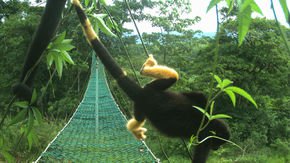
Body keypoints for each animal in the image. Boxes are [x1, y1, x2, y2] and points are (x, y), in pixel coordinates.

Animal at [72, 0, 229, 162]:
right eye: (218, 143)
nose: (217, 148)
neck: (210, 124)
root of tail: (142, 93)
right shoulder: (205, 138)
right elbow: (199, 158)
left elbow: (198, 96)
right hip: (142, 105)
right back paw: (135, 128)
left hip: (148, 91)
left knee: (172, 78)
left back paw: (145, 69)